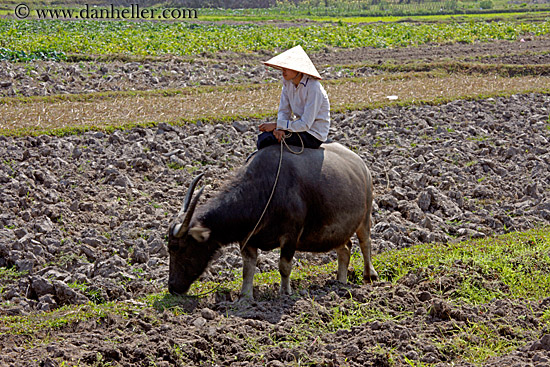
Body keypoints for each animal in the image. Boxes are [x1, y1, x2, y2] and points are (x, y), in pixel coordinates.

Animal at [168, 142, 380, 300]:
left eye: (180, 247)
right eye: (169, 248)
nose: (172, 288)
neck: (264, 190)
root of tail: (362, 166)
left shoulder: (291, 236)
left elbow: (284, 266)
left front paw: (284, 292)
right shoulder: (248, 240)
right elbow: (248, 269)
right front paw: (245, 296)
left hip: (365, 216)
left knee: (365, 243)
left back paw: (369, 275)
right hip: (338, 231)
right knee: (345, 249)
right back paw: (340, 282)